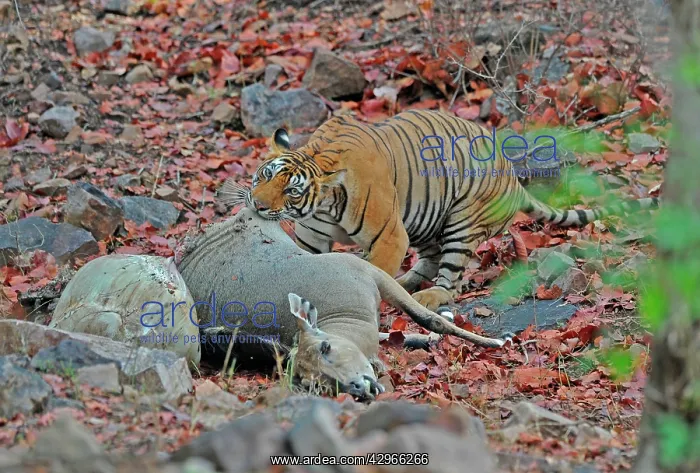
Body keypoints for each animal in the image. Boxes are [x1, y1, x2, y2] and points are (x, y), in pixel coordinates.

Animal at [221, 109, 660, 311]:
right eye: (264, 174)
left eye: (291, 192)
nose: (258, 204)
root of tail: (514, 176)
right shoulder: (313, 239)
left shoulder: (389, 235)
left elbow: (373, 270)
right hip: (425, 220)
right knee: (428, 261)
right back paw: (410, 283)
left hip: (461, 222)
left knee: (452, 279)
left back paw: (430, 295)